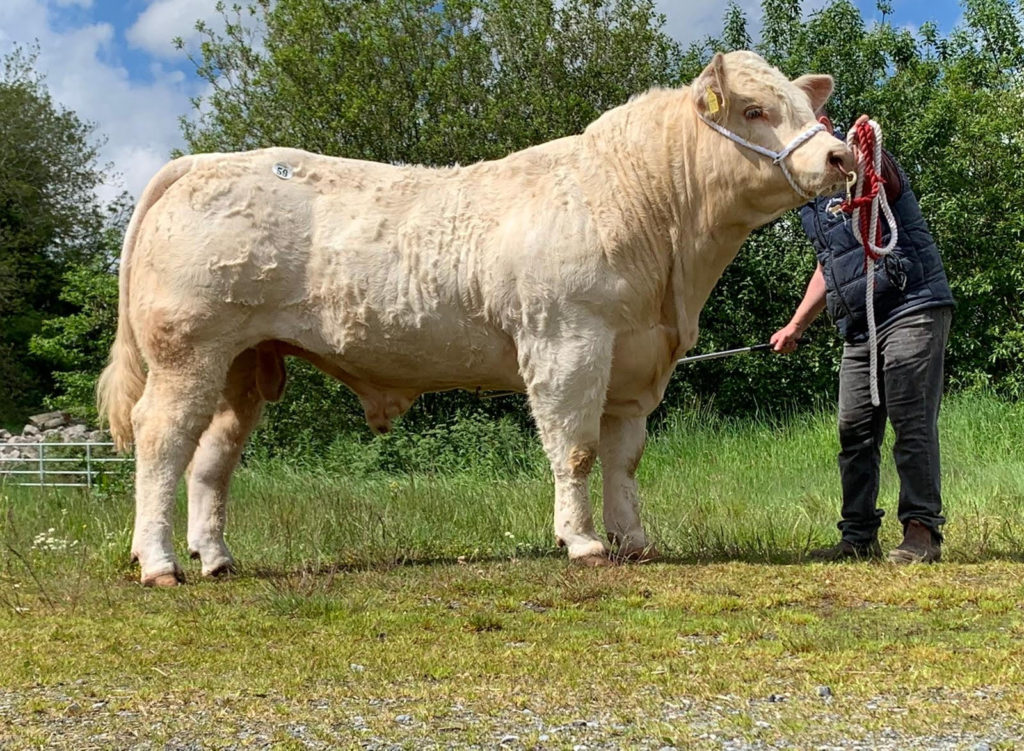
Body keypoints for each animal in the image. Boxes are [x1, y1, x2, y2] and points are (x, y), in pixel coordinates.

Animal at [98, 51, 853, 586]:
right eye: (754, 109)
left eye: (803, 106)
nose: (841, 154)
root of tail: (202, 163)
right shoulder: (566, 341)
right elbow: (575, 448)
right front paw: (582, 542)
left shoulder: (636, 362)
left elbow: (624, 458)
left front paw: (634, 540)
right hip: (188, 349)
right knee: (161, 441)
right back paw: (159, 562)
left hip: (244, 362)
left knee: (211, 459)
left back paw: (217, 558)